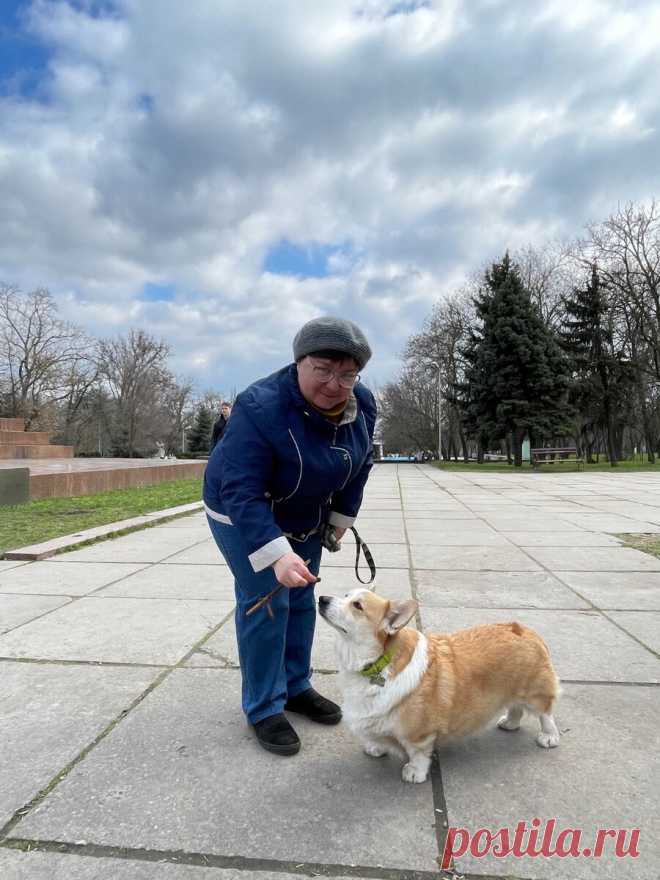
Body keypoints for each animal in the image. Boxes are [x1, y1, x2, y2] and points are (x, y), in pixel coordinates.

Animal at [318, 592, 560, 784]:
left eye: (357, 605)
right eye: (346, 595)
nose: (322, 598)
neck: (378, 662)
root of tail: (525, 630)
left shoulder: (419, 734)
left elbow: (418, 753)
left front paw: (414, 772)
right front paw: (376, 747)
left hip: (535, 692)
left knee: (546, 713)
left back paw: (549, 737)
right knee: (515, 707)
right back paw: (510, 723)